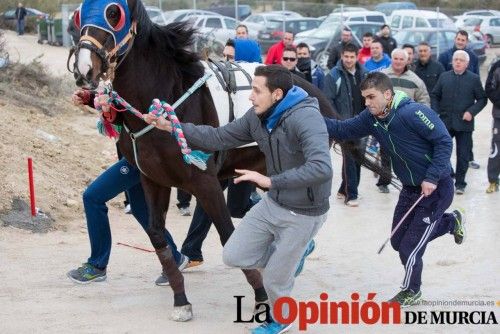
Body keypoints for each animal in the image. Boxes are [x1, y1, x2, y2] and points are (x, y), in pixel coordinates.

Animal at [69, 0, 386, 322]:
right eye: (79, 14)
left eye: (114, 13)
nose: (84, 68)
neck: (166, 97)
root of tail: (308, 90)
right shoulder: (153, 180)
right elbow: (158, 236)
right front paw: (181, 299)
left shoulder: (204, 181)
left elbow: (227, 235)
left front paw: (261, 298)